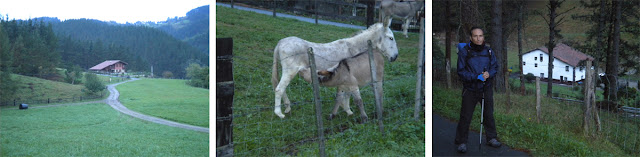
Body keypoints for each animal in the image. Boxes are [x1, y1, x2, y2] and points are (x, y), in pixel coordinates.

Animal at [272, 22, 400, 118]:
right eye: (391, 38)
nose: (395, 57)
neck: (353, 48)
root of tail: (280, 42)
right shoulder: (350, 77)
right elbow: (348, 95)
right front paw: (348, 110)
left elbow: (344, 94)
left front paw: (345, 109)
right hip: (290, 71)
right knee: (279, 89)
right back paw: (279, 114)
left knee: (281, 88)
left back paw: (287, 108)